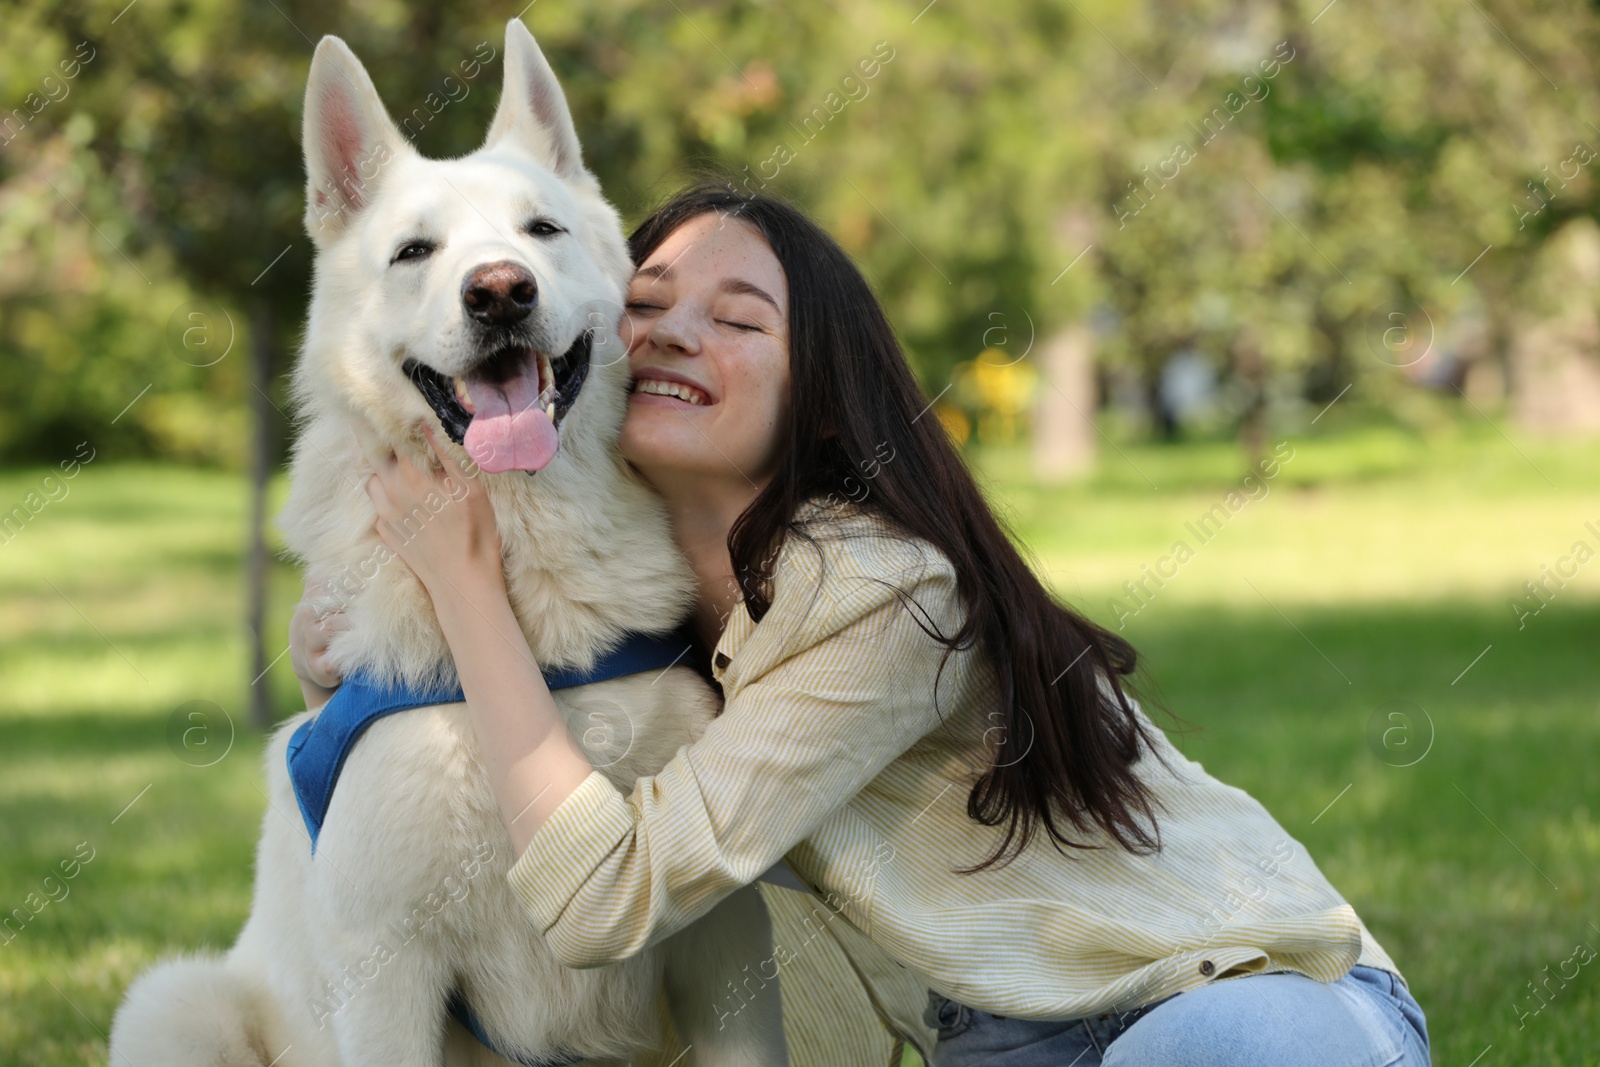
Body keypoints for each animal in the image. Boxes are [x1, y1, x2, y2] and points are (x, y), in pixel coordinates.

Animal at [104, 18, 787, 1067]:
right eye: (414, 251)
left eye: (541, 231)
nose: (499, 292)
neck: (520, 629)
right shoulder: (387, 970)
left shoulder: (722, 945)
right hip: (176, 1003)